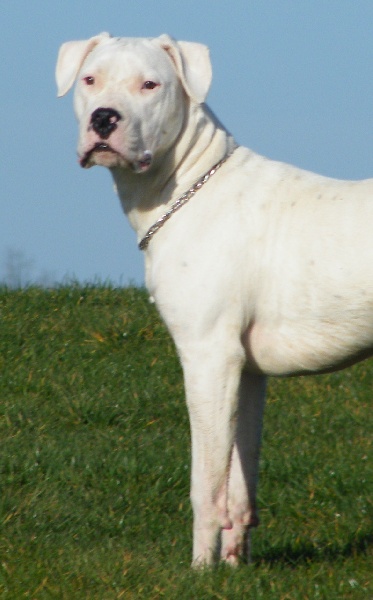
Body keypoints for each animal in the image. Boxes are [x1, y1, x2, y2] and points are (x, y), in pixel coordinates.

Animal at [56, 32, 372, 568]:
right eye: (90, 79)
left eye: (150, 84)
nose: (104, 118)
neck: (189, 184)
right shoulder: (246, 373)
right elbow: (240, 483)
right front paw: (233, 564)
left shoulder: (208, 358)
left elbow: (206, 483)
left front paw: (200, 569)